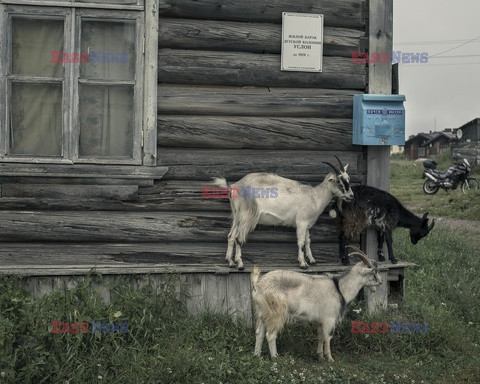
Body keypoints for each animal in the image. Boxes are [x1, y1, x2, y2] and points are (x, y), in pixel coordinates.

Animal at [213, 156, 352, 270]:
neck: (313, 196)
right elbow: (301, 242)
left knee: (231, 236)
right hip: (247, 216)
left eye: (348, 179)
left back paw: (231, 262)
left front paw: (312, 261)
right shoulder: (301, 222)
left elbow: (308, 241)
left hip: (238, 216)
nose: (351, 195)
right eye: (339, 181)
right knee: (238, 238)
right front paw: (303, 264)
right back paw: (240, 264)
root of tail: (234, 187)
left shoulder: (307, 224)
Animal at [251, 248, 382, 362]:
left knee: (259, 333)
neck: (340, 289)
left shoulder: (320, 320)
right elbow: (328, 337)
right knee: (270, 335)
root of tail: (258, 285)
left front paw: (320, 356)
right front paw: (330, 358)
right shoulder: (329, 318)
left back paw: (257, 355)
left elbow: (320, 336)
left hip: (263, 312)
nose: (380, 282)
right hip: (276, 312)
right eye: (373, 272)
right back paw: (275, 357)